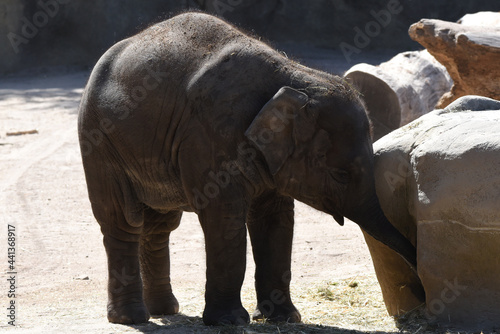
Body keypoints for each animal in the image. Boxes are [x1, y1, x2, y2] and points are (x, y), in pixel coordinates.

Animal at [77, 11, 418, 324]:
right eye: (340, 175)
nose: (420, 285)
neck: (292, 78)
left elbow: (275, 219)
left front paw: (284, 318)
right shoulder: (210, 137)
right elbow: (225, 218)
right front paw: (230, 322)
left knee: (160, 224)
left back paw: (165, 310)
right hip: (98, 142)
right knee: (122, 221)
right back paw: (131, 318)